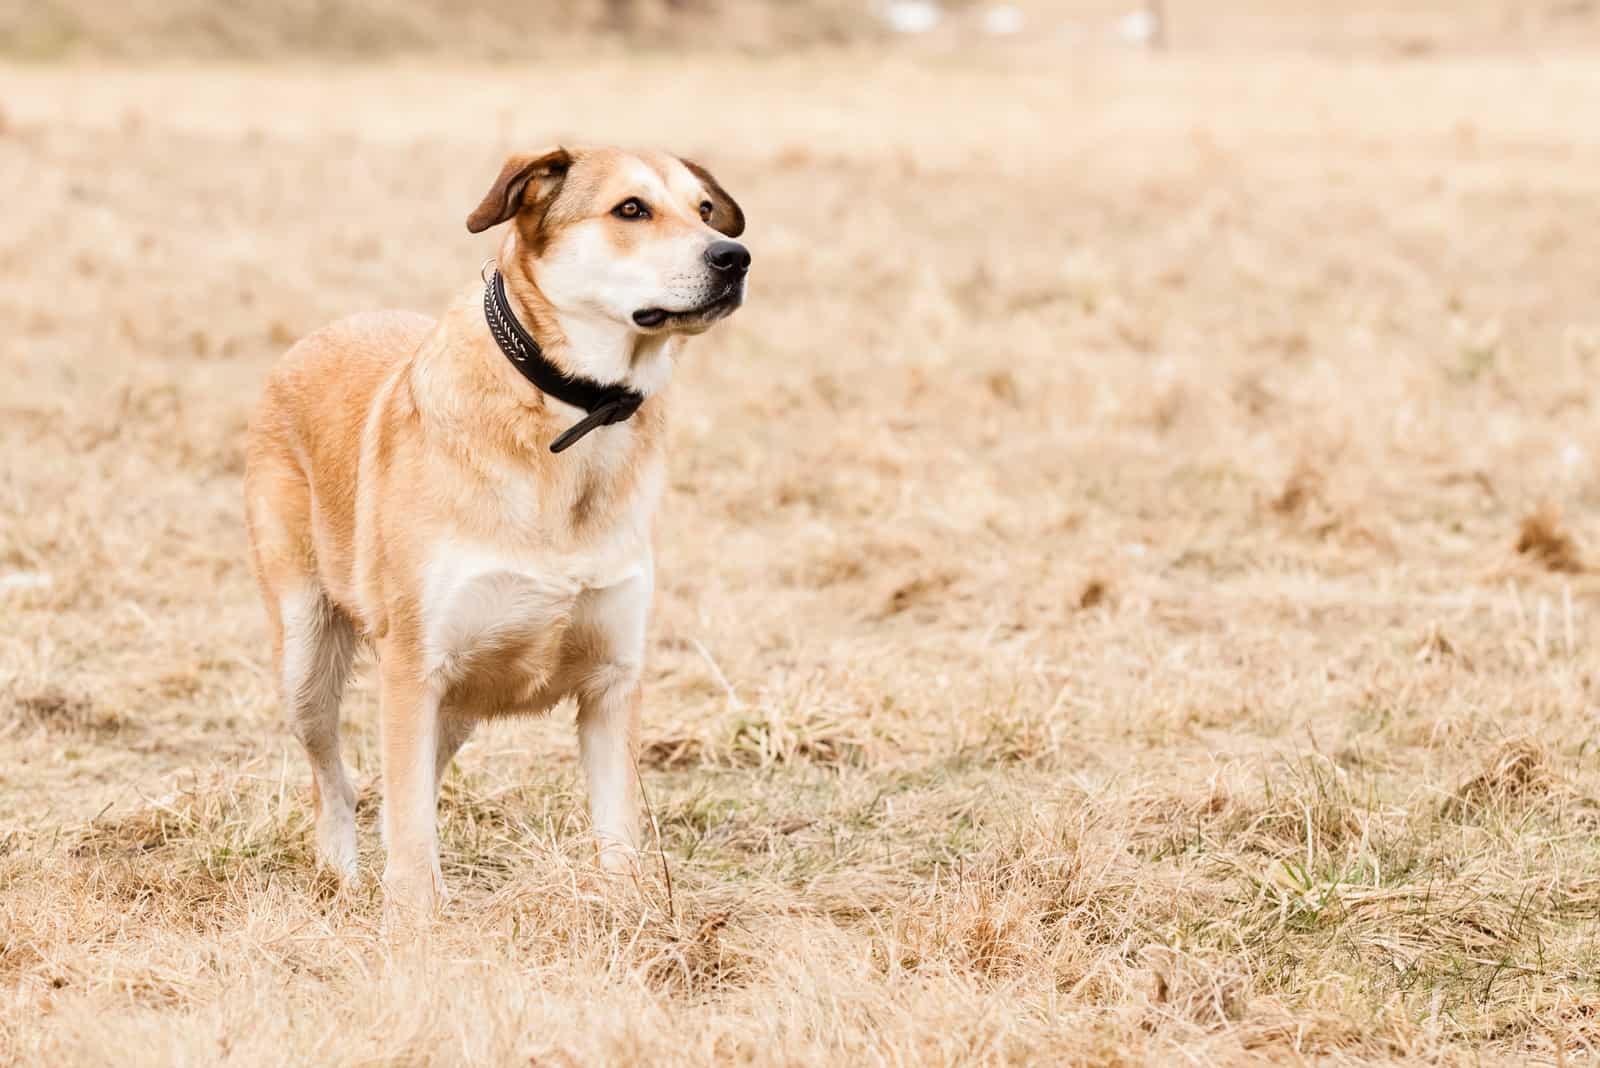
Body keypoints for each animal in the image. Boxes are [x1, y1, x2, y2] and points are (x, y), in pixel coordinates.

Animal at [241, 141, 748, 914]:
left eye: (704, 209)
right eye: (631, 209)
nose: (735, 257)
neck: (573, 416)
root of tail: (321, 333)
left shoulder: (612, 683)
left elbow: (618, 837)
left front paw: (629, 917)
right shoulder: (414, 667)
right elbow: (409, 833)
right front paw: (413, 929)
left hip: (454, 700)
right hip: (307, 657)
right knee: (338, 780)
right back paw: (341, 874)